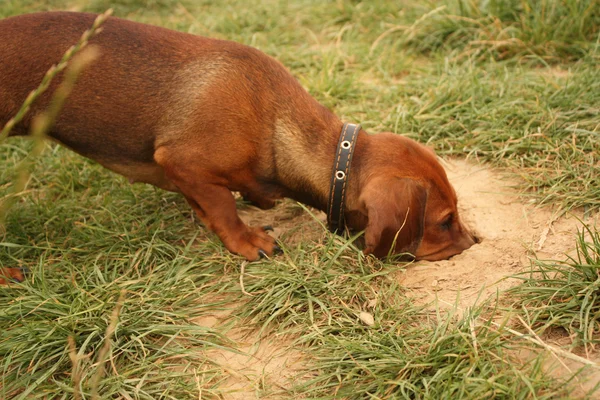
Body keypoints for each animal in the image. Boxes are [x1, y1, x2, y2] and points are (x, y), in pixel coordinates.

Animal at [0, 11, 478, 276]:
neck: (274, 123)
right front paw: (247, 241)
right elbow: (224, 208)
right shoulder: (182, 162)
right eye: (444, 220)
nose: (475, 243)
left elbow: (210, 203)